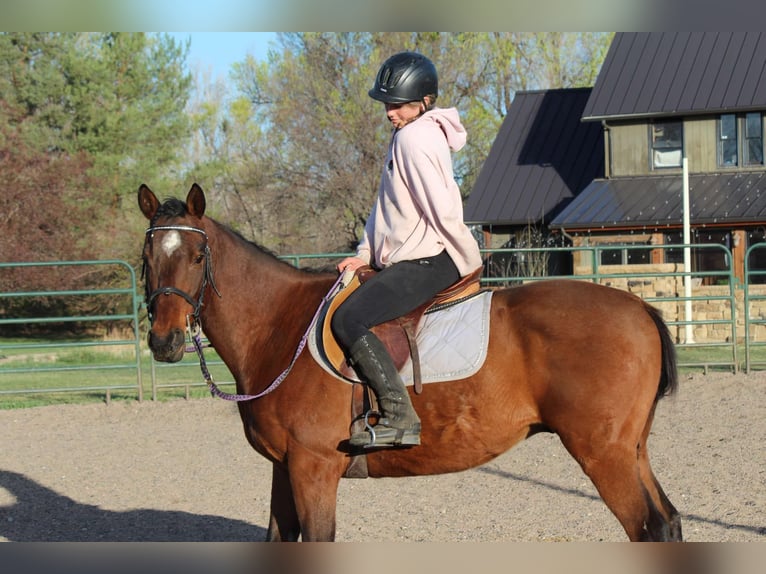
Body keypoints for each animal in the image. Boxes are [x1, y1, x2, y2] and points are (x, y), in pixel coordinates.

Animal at [137, 183, 682, 542]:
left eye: (197, 256)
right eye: (147, 257)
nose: (164, 341)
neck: (280, 327)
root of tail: (639, 308)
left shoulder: (313, 469)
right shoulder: (284, 469)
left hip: (603, 454)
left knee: (648, 529)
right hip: (631, 451)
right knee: (670, 523)